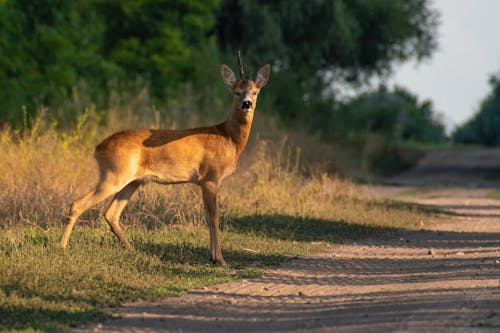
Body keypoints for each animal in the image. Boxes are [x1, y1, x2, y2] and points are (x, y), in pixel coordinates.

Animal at [60, 51, 272, 264]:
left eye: (255, 91)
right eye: (236, 91)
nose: (247, 103)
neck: (229, 138)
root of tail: (98, 148)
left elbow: (209, 216)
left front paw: (214, 257)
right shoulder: (210, 178)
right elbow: (214, 217)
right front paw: (219, 259)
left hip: (133, 181)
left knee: (111, 213)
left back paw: (132, 249)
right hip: (114, 175)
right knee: (78, 204)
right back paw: (62, 246)